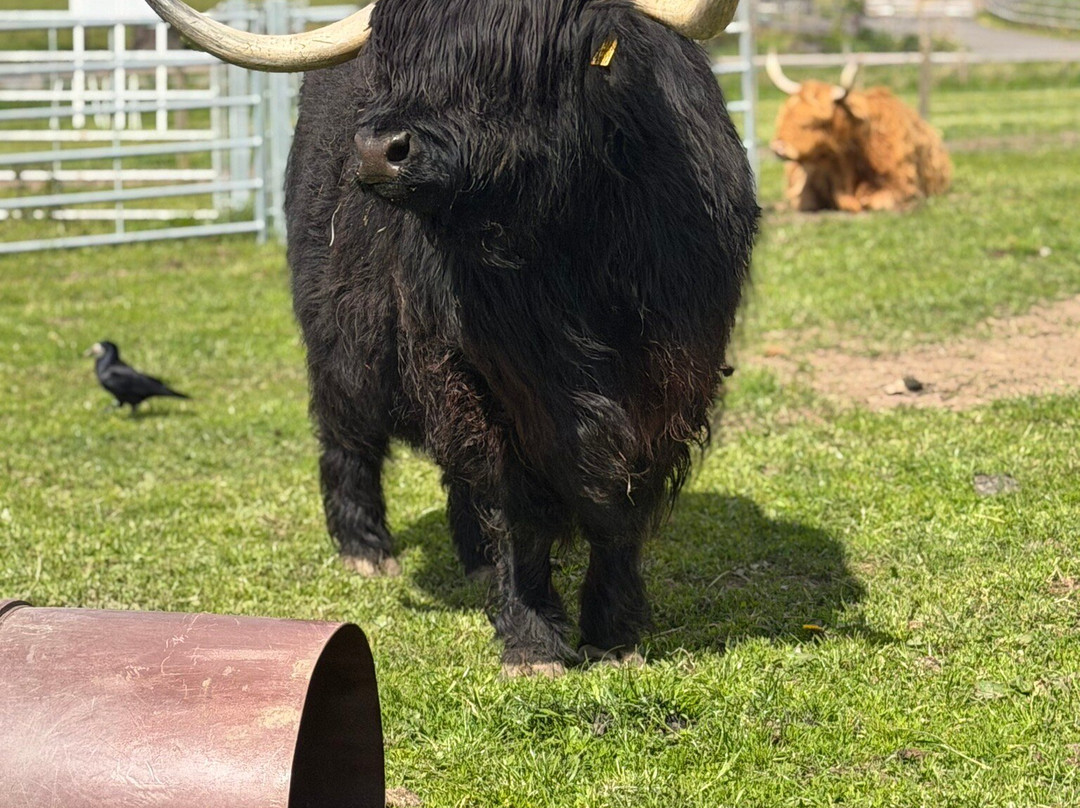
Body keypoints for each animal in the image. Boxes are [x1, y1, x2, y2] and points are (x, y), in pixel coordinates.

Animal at [145, 0, 758, 675]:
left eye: (506, 60)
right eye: (396, 55)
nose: (377, 151)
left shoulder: (673, 379)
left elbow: (621, 506)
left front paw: (615, 634)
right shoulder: (476, 377)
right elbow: (516, 505)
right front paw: (531, 641)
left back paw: (475, 563)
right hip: (341, 340)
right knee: (348, 435)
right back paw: (367, 550)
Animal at [766, 53, 952, 213]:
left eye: (818, 122)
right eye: (785, 114)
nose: (778, 148)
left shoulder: (903, 186)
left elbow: (876, 202)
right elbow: (804, 200)